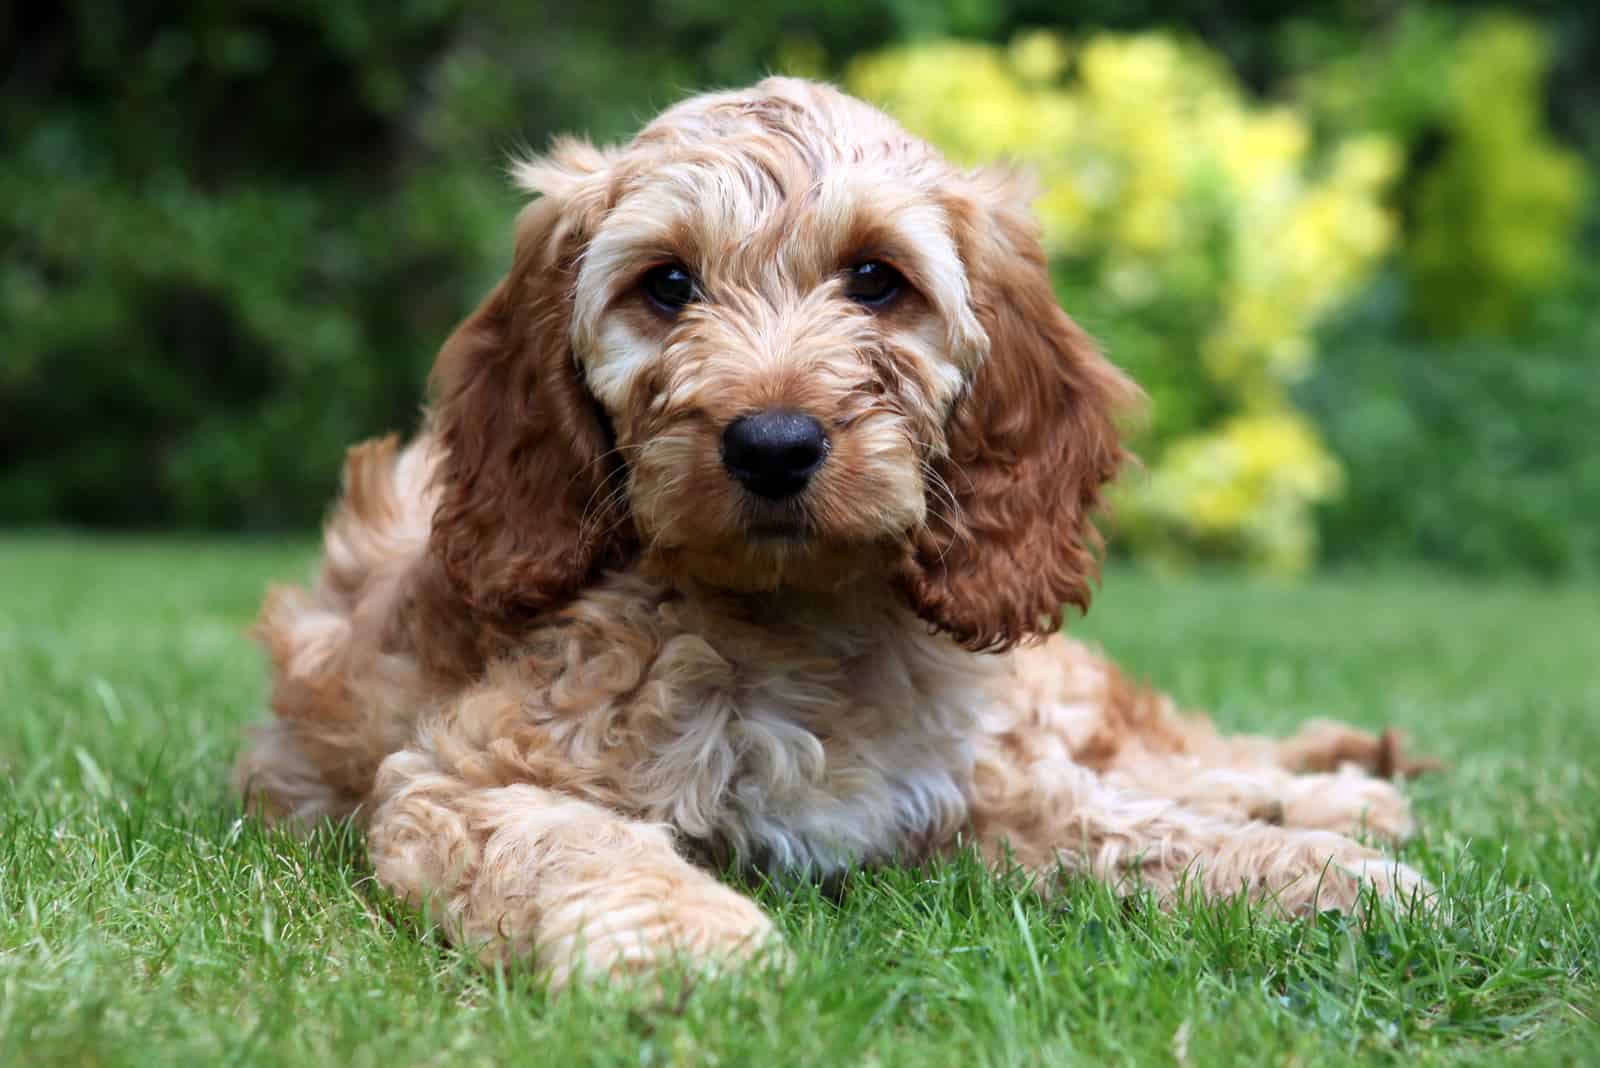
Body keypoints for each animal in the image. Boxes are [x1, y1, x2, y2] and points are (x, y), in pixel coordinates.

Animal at [240, 79, 1440, 991]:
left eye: (875, 278)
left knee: (1163, 749)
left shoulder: (970, 777)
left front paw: (1304, 873)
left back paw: (1335, 795)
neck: (793, 617)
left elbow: (1119, 823)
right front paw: (690, 943)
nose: (772, 444)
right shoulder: (462, 778)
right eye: (665, 286)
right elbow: (572, 842)